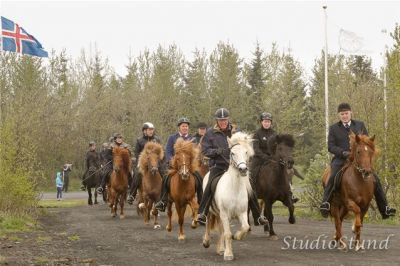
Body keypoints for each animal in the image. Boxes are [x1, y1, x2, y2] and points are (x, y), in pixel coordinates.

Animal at [202, 132, 255, 260]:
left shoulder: (241, 213)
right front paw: (229, 255)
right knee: (207, 222)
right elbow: (227, 234)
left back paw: (221, 249)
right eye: (232, 153)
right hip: (211, 211)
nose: (243, 169)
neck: (234, 188)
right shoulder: (225, 213)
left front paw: (237, 236)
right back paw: (206, 242)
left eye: (246, 152)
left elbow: (245, 227)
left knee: (221, 229)